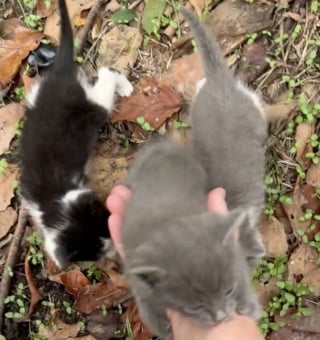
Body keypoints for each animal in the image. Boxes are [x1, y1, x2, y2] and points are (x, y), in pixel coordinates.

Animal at [19, 0, 132, 266]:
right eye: (95, 253)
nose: (112, 251)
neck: (51, 205)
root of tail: (59, 78)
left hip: (90, 108)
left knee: (105, 74)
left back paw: (125, 86)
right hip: (36, 98)